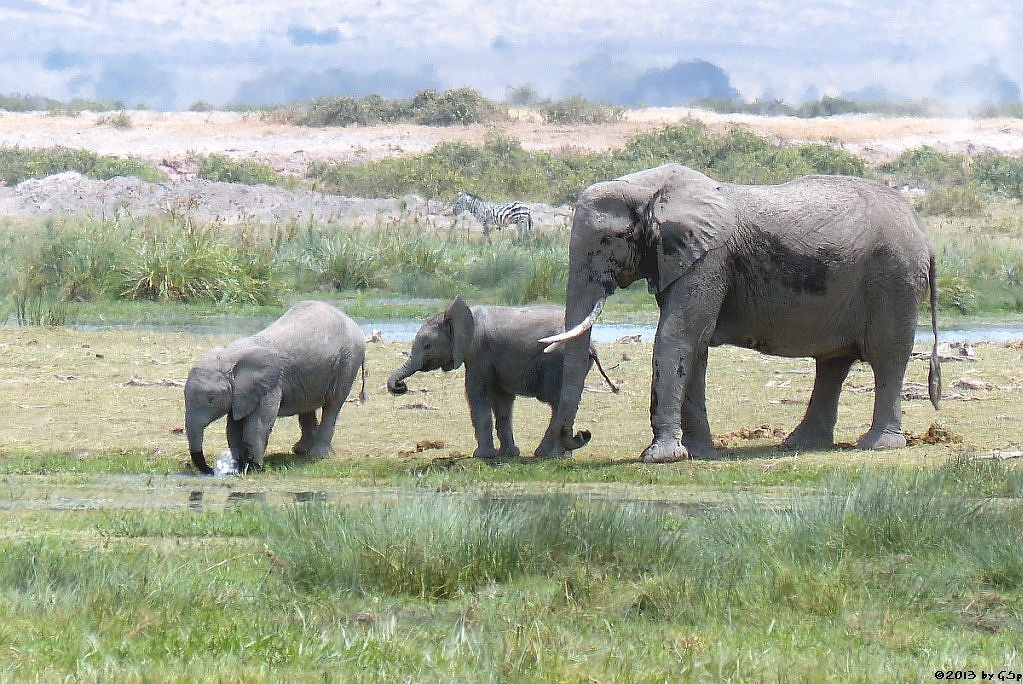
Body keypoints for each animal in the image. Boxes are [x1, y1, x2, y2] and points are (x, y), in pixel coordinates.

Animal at [185, 300, 368, 472]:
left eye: (211, 400)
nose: (209, 470)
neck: (229, 356)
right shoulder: (241, 393)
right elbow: (233, 427)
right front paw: (242, 467)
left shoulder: (270, 385)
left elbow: (257, 425)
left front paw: (255, 468)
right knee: (307, 406)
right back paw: (301, 451)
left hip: (348, 361)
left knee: (333, 403)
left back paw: (318, 456)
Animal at [384, 294, 613, 458]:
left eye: (427, 346)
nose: (400, 386)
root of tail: (591, 346)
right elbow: (502, 401)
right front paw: (508, 454)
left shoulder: (478, 352)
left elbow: (477, 395)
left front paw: (482, 456)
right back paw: (560, 454)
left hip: (556, 362)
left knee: (557, 403)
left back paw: (547, 455)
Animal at [540, 163, 937, 462]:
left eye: (608, 240)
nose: (575, 439)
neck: (652, 188)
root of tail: (922, 230)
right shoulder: (681, 260)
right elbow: (695, 345)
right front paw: (699, 454)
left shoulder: (709, 258)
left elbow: (677, 335)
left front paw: (660, 457)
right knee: (833, 363)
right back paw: (801, 444)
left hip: (894, 279)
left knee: (886, 356)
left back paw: (877, 445)